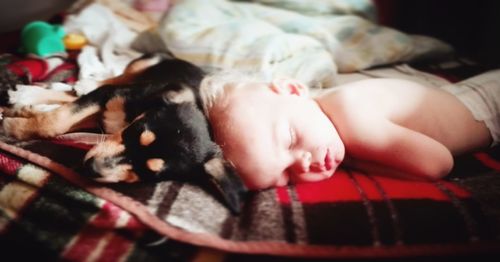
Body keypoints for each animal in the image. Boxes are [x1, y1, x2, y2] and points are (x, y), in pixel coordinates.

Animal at [1, 53, 247, 213]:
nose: (91, 168)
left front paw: (21, 114)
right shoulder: (108, 95)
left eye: (152, 173)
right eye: (137, 130)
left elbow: (62, 117)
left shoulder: (102, 115)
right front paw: (12, 126)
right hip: (142, 65)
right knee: (110, 79)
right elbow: (56, 120)